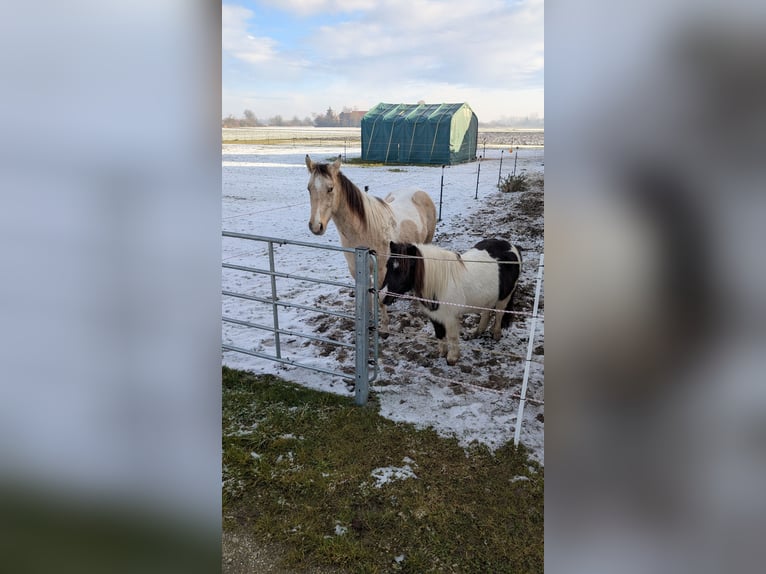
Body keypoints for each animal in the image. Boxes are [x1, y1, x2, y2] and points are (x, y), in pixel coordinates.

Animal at [306, 154, 438, 332]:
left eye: (330, 188)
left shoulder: (381, 270)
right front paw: (367, 324)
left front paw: (384, 328)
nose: (316, 226)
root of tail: (420, 191)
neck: (363, 229)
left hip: (427, 241)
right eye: (309, 188)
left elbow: (379, 299)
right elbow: (367, 298)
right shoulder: (357, 270)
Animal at [382, 240, 524, 366]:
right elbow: (439, 334)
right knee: (486, 313)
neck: (440, 284)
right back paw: (476, 333)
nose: (383, 297)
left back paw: (496, 335)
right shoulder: (435, 316)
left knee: (499, 315)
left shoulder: (450, 318)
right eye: (388, 266)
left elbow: (452, 337)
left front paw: (452, 358)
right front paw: (441, 353)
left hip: (504, 297)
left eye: (405, 270)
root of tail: (511, 246)